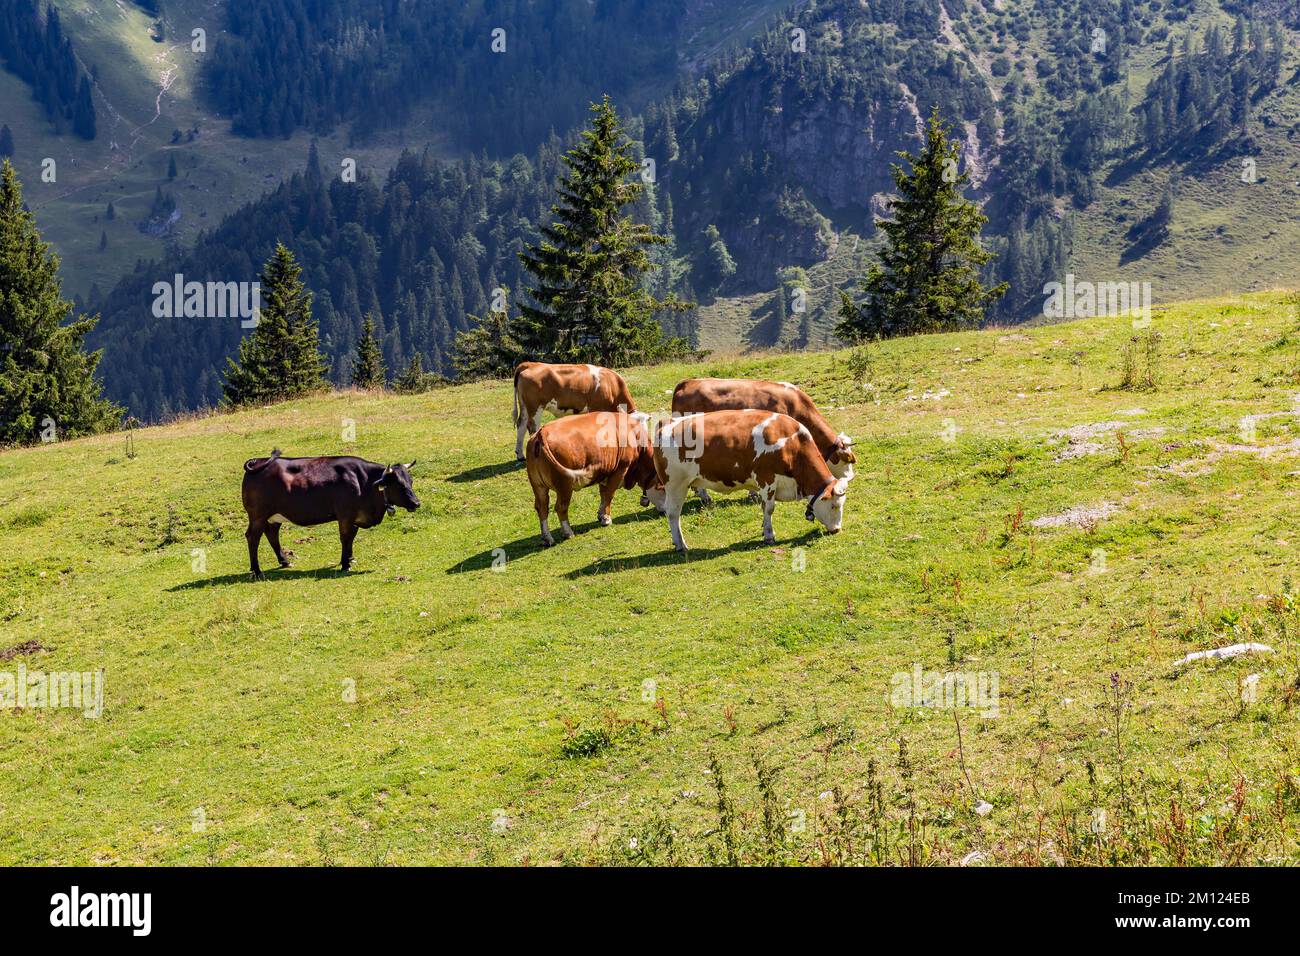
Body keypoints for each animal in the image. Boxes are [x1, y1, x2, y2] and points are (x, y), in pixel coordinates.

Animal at [241, 450, 420, 579]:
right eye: (399, 484)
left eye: (410, 481)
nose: (417, 503)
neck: (363, 482)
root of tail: (258, 460)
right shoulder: (345, 516)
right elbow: (345, 538)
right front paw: (345, 564)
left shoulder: (354, 518)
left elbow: (351, 538)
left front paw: (350, 558)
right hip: (257, 515)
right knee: (253, 537)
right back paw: (257, 571)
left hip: (272, 517)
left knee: (272, 534)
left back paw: (285, 561)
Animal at [526, 410, 665, 547]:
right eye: (663, 488)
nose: (664, 512)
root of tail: (541, 432)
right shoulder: (620, 470)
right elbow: (609, 494)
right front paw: (606, 518)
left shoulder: (605, 472)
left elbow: (603, 494)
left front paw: (601, 514)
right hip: (564, 485)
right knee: (561, 507)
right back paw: (568, 532)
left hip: (538, 485)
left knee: (542, 507)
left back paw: (547, 538)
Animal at [653, 410, 848, 553]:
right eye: (834, 506)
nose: (837, 529)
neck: (792, 444)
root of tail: (667, 424)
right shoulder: (766, 479)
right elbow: (769, 508)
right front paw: (769, 535)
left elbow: (764, 508)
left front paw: (765, 529)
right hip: (675, 485)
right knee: (673, 514)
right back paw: (681, 545)